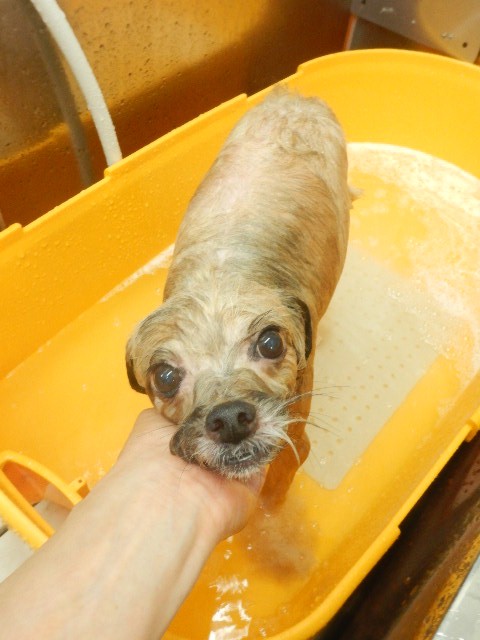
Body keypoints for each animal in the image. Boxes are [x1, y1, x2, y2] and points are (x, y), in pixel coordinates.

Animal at [126, 89, 353, 500]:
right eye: (165, 376)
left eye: (270, 343)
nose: (230, 418)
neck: (220, 270)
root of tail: (297, 97)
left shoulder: (294, 444)